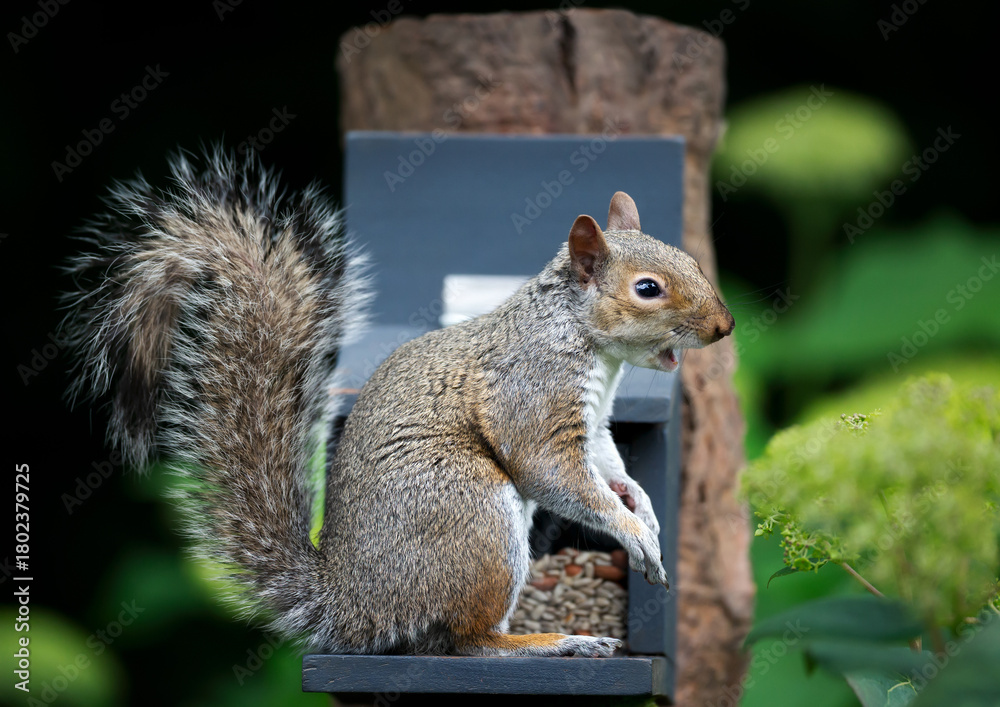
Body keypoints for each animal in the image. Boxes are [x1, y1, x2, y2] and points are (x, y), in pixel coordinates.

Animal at [63, 149, 734, 658]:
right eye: (647, 289)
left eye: (693, 260)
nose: (723, 327)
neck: (582, 338)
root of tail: (354, 604)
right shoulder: (533, 391)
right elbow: (552, 471)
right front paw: (632, 531)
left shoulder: (592, 426)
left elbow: (609, 467)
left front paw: (644, 510)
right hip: (471, 511)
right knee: (463, 642)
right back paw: (548, 643)